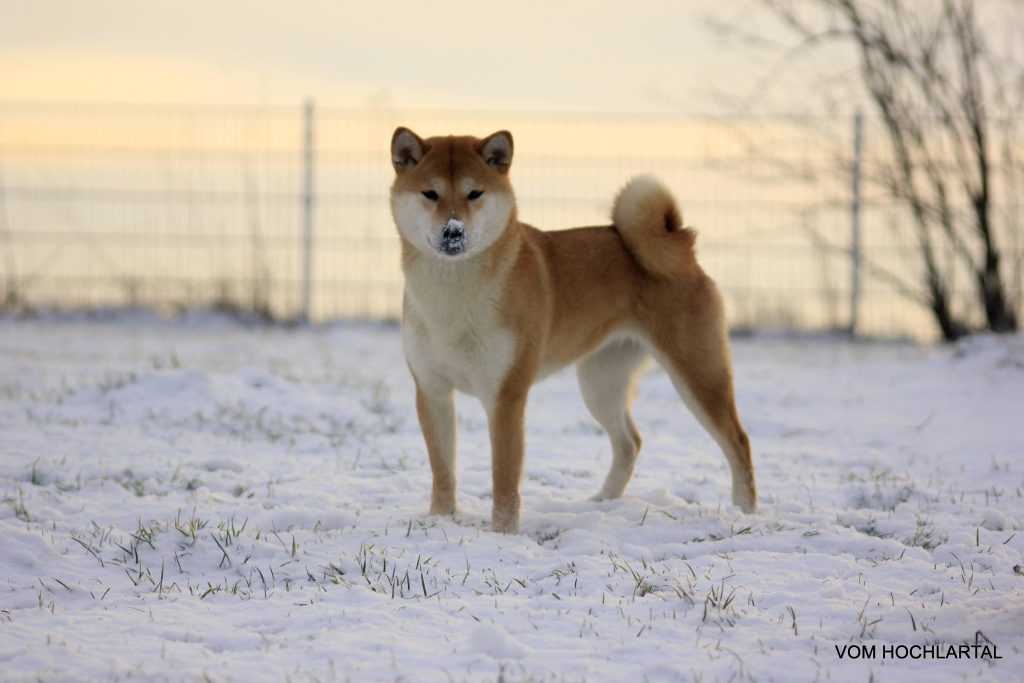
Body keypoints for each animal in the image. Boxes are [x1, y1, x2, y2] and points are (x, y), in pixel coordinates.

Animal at [387, 127, 757, 532]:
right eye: (430, 193)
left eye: (474, 193)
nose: (453, 232)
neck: (452, 297)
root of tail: (683, 250)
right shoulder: (432, 390)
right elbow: (443, 469)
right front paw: (439, 520)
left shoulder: (506, 395)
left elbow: (504, 477)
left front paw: (503, 532)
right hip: (600, 383)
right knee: (630, 442)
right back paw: (604, 501)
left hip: (697, 373)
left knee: (738, 441)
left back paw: (745, 511)